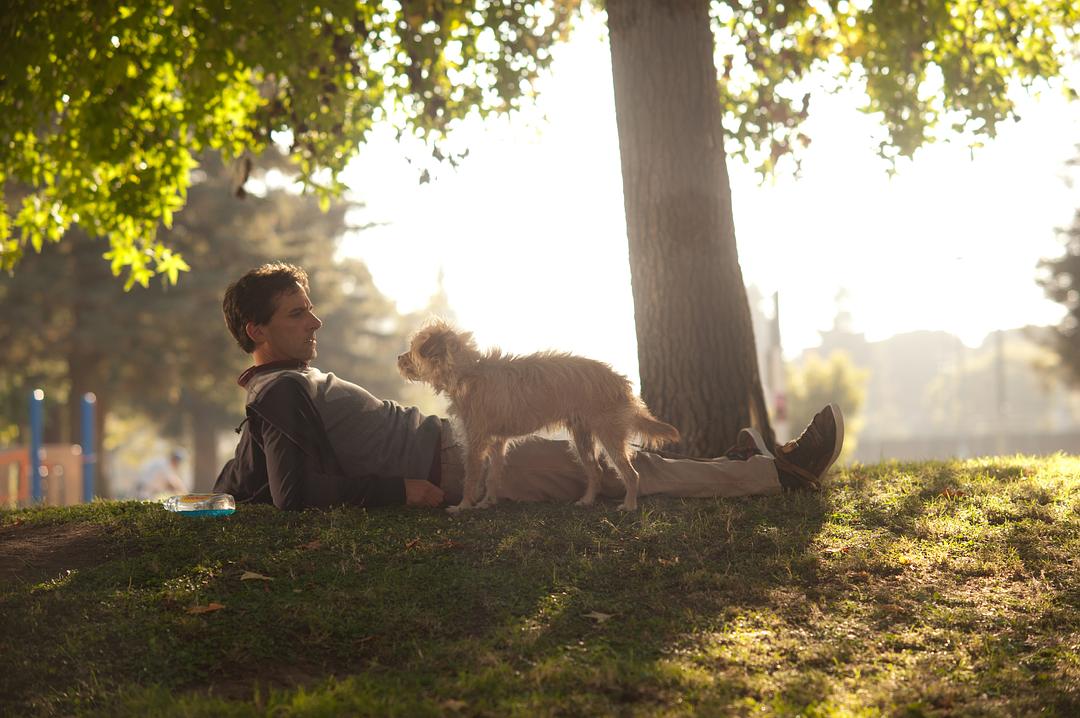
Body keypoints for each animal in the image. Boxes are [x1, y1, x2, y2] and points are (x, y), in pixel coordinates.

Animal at [401, 317, 678, 509]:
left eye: (413, 349)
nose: (398, 358)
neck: (468, 373)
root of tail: (620, 381)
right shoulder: (497, 441)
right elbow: (492, 475)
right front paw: (487, 503)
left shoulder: (476, 440)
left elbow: (471, 476)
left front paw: (463, 506)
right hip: (581, 439)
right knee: (596, 471)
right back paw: (587, 501)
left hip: (609, 437)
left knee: (631, 474)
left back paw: (629, 506)